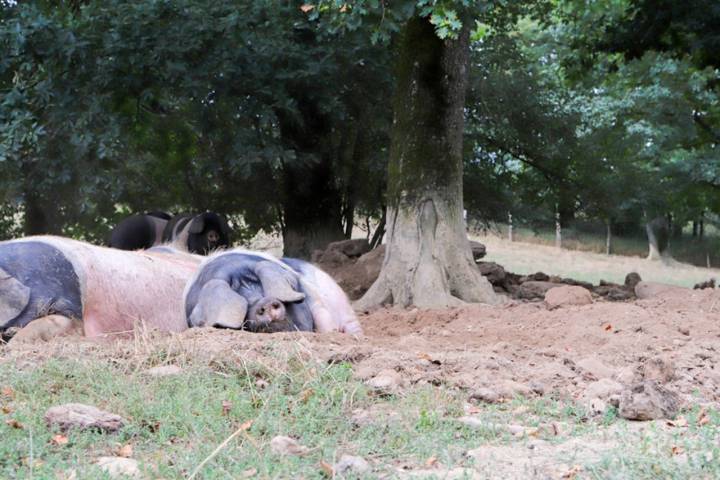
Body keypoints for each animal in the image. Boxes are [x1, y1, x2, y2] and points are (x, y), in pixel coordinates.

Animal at [184, 249, 362, 336]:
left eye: (261, 285)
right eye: (239, 294)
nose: (266, 302)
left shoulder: (313, 297)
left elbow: (324, 321)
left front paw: (331, 333)